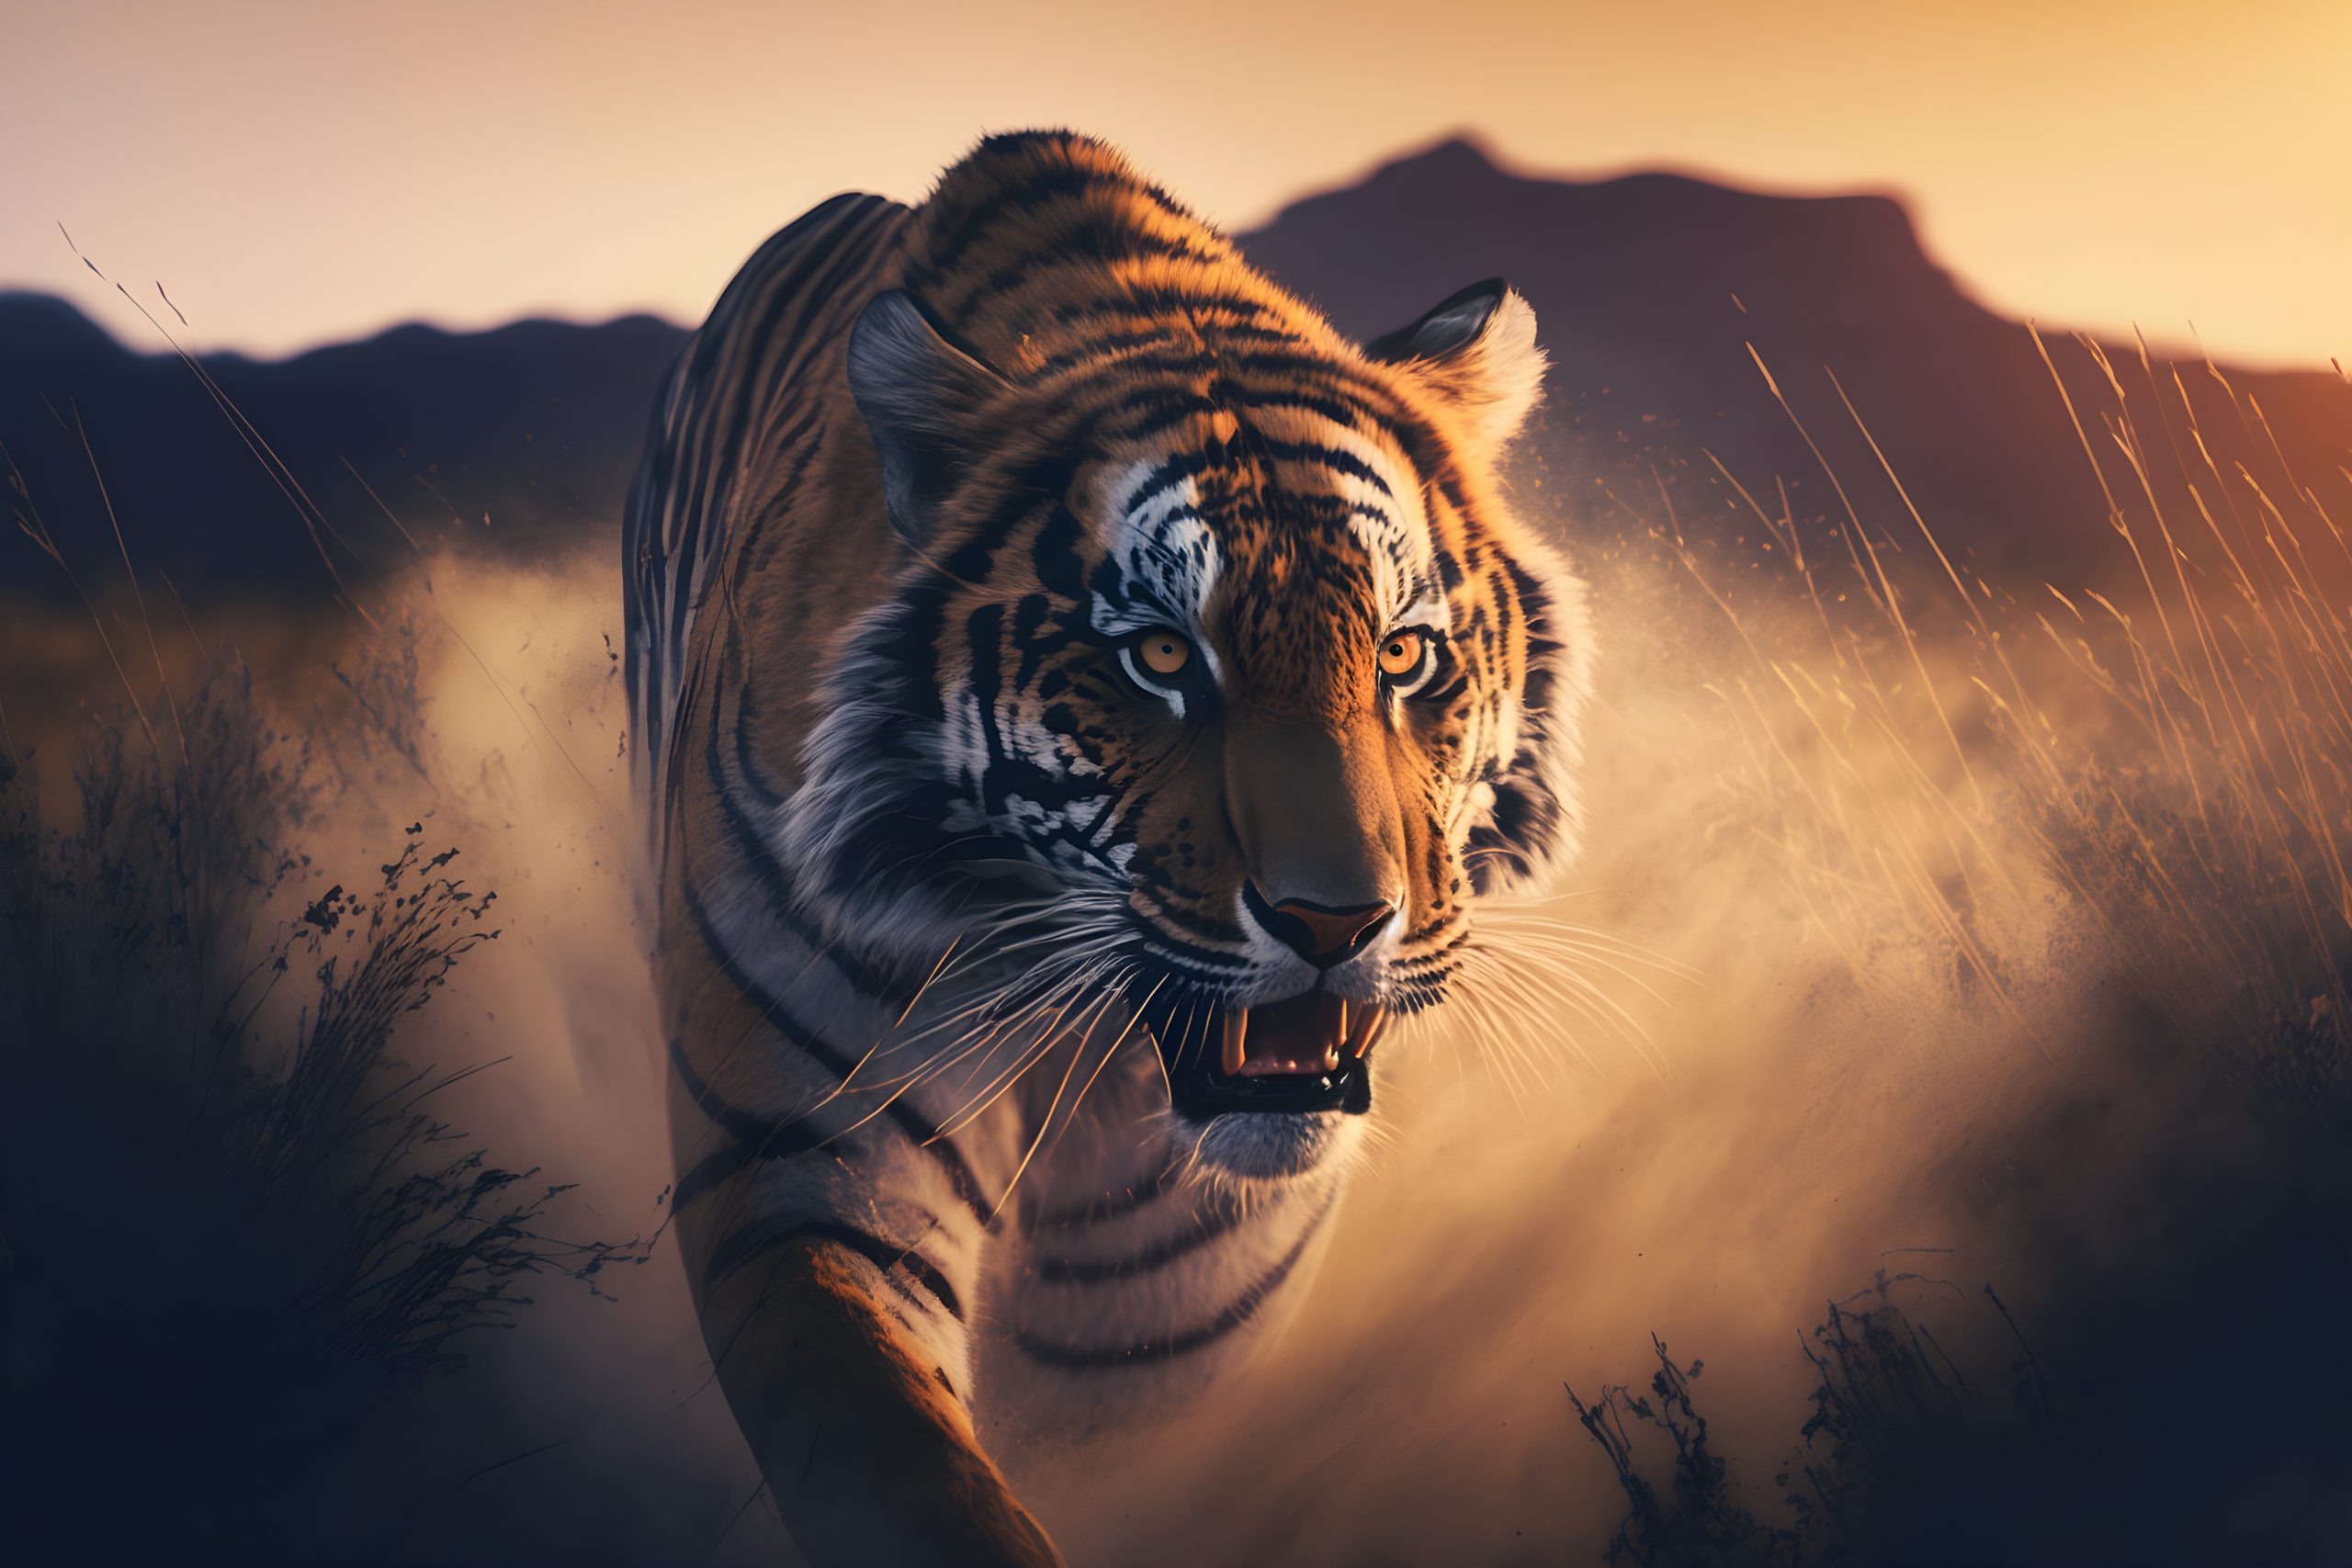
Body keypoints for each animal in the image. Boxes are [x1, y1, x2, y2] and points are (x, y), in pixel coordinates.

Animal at [621, 130, 1589, 1566]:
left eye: (1404, 653)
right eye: (1163, 660)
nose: (1338, 924)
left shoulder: (1159, 1304)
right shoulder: (806, 1160)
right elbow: (902, 1462)